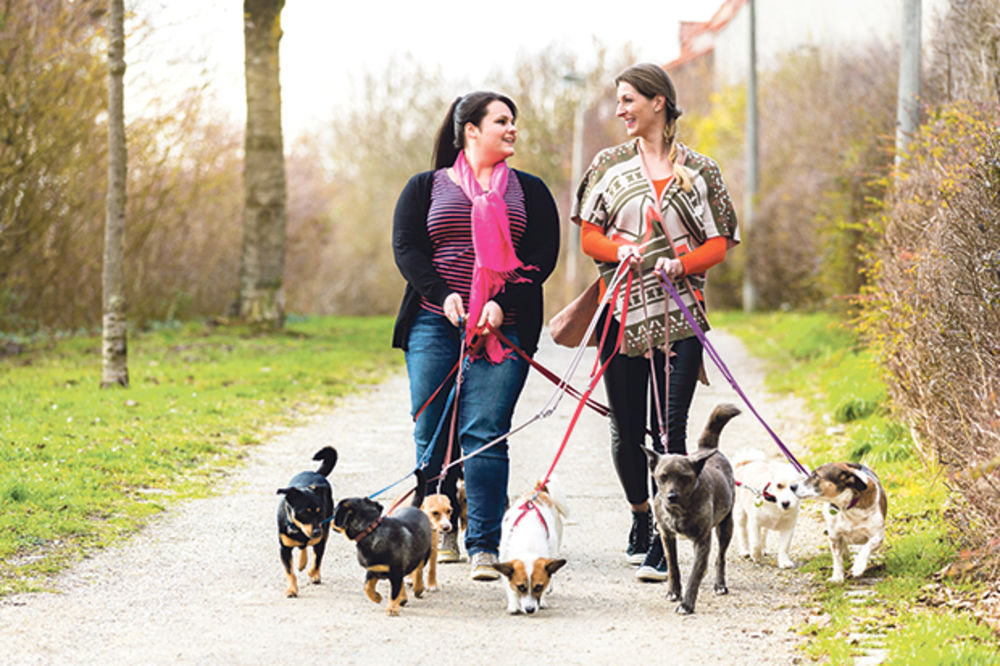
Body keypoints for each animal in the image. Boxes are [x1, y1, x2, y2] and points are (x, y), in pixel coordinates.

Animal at [276, 446, 338, 596]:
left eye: (320, 512)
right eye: (304, 513)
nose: (317, 531)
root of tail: (315, 473)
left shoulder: (320, 542)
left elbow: (317, 561)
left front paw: (313, 574)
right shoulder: (284, 549)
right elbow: (290, 572)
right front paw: (292, 589)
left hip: (325, 533)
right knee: (303, 546)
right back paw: (301, 562)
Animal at [334, 470, 432, 616]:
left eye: (334, 512)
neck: (370, 529)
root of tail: (414, 507)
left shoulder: (396, 572)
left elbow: (394, 593)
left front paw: (392, 609)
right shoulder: (373, 570)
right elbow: (367, 587)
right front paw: (376, 597)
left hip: (424, 553)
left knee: (418, 570)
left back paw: (418, 588)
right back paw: (403, 598)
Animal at [490, 478, 568, 612]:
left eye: (538, 587)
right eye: (521, 587)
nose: (530, 609)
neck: (527, 546)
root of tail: (539, 492)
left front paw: (542, 599)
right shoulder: (505, 560)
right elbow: (510, 587)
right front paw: (514, 604)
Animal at [644, 400, 740, 612]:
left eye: (684, 477)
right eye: (662, 477)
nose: (672, 496)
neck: (679, 511)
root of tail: (708, 448)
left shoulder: (702, 541)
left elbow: (695, 573)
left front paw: (686, 604)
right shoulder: (667, 536)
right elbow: (673, 565)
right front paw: (673, 592)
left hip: (726, 526)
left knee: (720, 558)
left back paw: (720, 585)